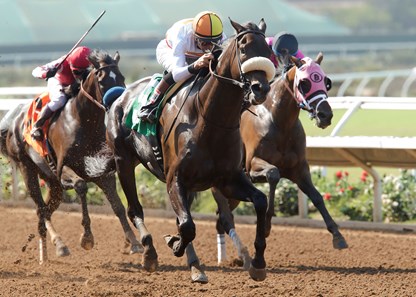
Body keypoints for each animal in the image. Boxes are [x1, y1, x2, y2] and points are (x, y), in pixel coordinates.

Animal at [0, 49, 141, 264]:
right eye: (102, 81)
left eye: (122, 78)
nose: (119, 103)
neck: (84, 121)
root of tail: (14, 122)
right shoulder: (64, 167)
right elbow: (81, 186)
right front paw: (87, 238)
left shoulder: (102, 171)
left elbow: (117, 206)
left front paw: (133, 242)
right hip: (28, 169)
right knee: (41, 209)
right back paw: (59, 245)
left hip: (52, 182)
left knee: (44, 210)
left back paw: (45, 253)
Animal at [100, 18, 274, 282]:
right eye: (243, 48)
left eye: (268, 50)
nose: (260, 89)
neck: (211, 120)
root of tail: (120, 96)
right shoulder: (175, 178)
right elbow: (187, 226)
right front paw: (174, 243)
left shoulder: (228, 180)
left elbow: (260, 202)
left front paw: (258, 262)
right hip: (124, 162)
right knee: (134, 209)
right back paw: (150, 253)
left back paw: (194, 265)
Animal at [211, 52, 348, 268]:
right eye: (304, 83)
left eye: (326, 82)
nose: (325, 115)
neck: (279, 122)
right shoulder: (252, 167)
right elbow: (274, 174)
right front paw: (266, 225)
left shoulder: (299, 169)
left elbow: (317, 196)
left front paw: (338, 235)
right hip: (221, 186)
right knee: (223, 216)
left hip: (233, 192)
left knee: (222, 219)